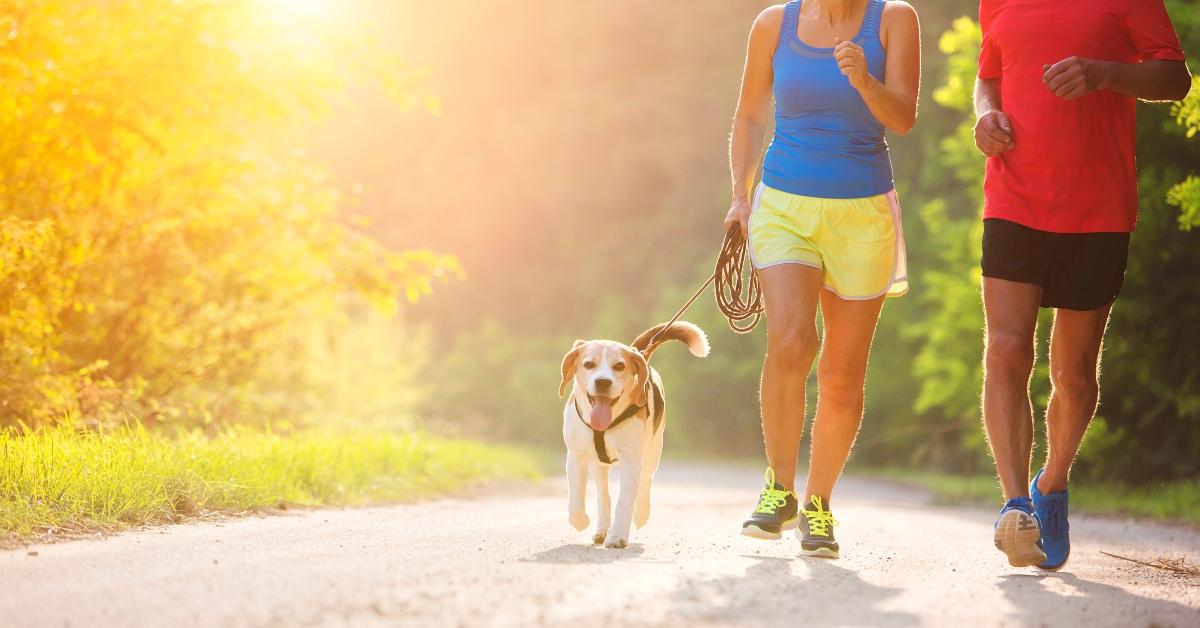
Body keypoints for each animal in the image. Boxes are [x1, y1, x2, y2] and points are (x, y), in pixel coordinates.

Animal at [556, 321, 705, 547]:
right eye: (589, 364)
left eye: (619, 366)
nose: (602, 382)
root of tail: (639, 352)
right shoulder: (576, 457)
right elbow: (575, 498)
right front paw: (580, 521)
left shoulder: (632, 461)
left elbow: (625, 501)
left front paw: (617, 535)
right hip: (598, 465)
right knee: (603, 494)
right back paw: (601, 529)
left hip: (652, 452)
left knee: (645, 482)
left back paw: (641, 514)